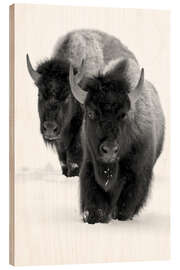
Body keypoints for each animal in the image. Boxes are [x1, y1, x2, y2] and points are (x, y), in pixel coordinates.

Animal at [69, 40, 165, 224]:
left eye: (124, 114)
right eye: (91, 113)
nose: (109, 150)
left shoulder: (138, 174)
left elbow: (125, 206)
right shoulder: (90, 166)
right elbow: (94, 204)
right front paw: (94, 216)